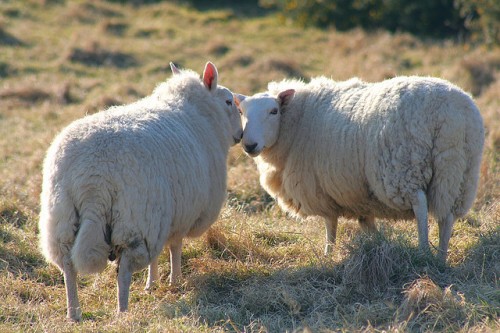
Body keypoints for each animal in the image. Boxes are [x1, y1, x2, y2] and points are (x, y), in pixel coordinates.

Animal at [39, 61, 242, 320]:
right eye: (228, 101)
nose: (241, 135)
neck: (201, 115)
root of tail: (92, 179)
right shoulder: (178, 215)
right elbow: (175, 247)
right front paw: (174, 281)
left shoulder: (165, 217)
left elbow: (158, 254)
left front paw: (152, 284)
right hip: (135, 221)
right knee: (124, 271)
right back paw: (122, 311)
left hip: (61, 219)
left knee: (68, 267)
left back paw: (73, 313)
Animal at [237, 75, 484, 262]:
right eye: (241, 113)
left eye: (274, 111)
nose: (249, 145)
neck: (297, 121)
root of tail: (449, 113)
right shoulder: (359, 195)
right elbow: (366, 224)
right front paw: (378, 243)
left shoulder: (321, 190)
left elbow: (330, 225)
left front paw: (328, 255)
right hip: (457, 171)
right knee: (447, 214)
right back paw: (441, 256)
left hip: (404, 168)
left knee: (421, 205)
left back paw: (423, 251)